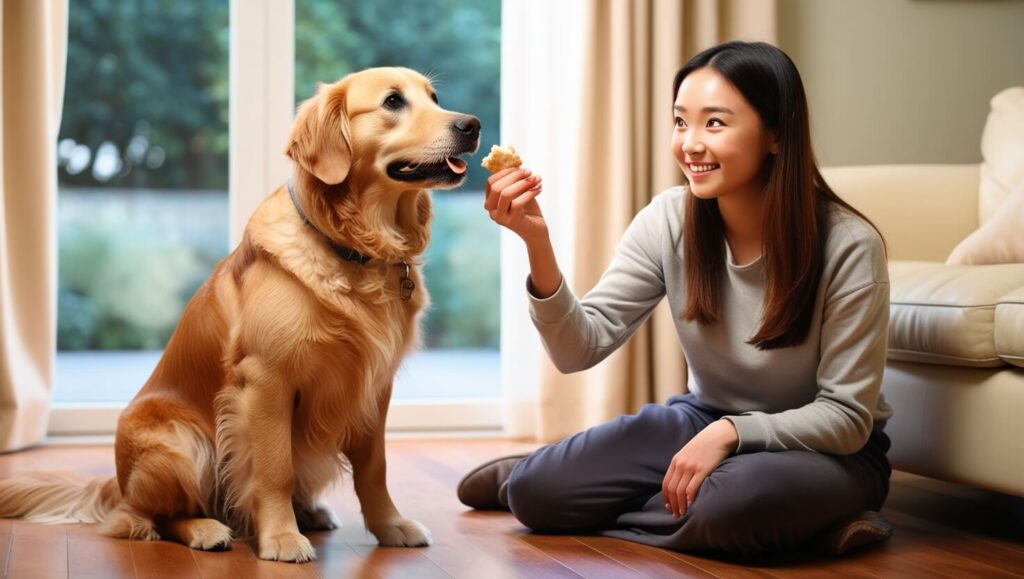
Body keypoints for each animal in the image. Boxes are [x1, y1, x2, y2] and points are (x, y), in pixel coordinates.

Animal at [0, 66, 481, 561]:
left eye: (434, 97)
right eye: (392, 102)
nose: (472, 125)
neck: (354, 250)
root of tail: (118, 484)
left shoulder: (374, 386)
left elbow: (374, 469)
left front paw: (390, 526)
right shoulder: (266, 380)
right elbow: (274, 469)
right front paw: (282, 538)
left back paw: (309, 512)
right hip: (182, 443)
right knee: (142, 518)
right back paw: (206, 528)